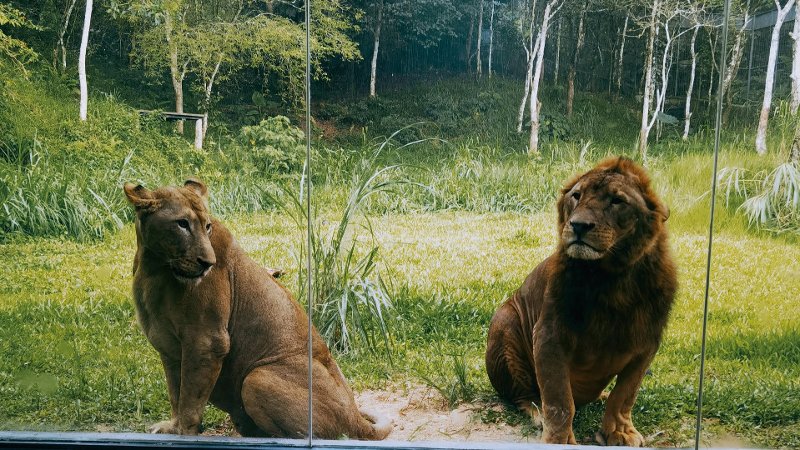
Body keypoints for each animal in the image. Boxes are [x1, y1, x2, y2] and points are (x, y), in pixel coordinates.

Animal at [124, 179, 392, 440]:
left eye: (207, 226)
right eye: (181, 224)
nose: (208, 263)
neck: (154, 267)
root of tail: (356, 418)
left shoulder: (207, 341)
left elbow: (190, 400)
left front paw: (184, 434)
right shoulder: (168, 347)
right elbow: (175, 393)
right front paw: (172, 426)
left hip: (256, 378)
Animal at [485, 156, 677, 446]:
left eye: (617, 201)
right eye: (577, 196)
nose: (578, 225)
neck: (612, 278)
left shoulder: (647, 343)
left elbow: (625, 395)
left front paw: (620, 431)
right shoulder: (549, 336)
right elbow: (559, 400)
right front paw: (560, 440)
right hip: (504, 323)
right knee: (524, 396)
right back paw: (537, 412)